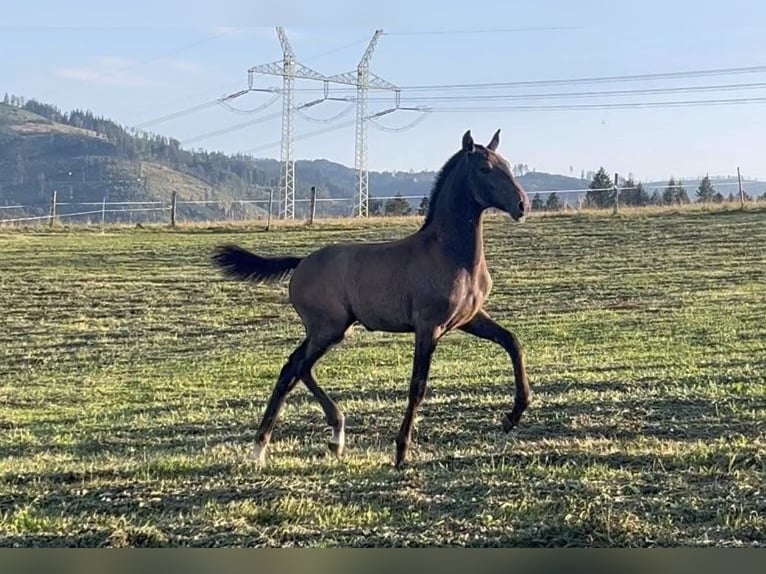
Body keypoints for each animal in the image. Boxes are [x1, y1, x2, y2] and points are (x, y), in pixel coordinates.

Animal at [213, 129, 532, 468]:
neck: (448, 253)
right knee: (297, 368)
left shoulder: (468, 319)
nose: (522, 205)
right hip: (328, 329)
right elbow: (418, 385)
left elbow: (512, 342)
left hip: (329, 330)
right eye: (485, 169)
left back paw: (299, 441)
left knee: (295, 368)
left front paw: (512, 416)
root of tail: (300, 262)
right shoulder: (428, 326)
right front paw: (401, 451)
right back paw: (292, 441)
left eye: (507, 164)